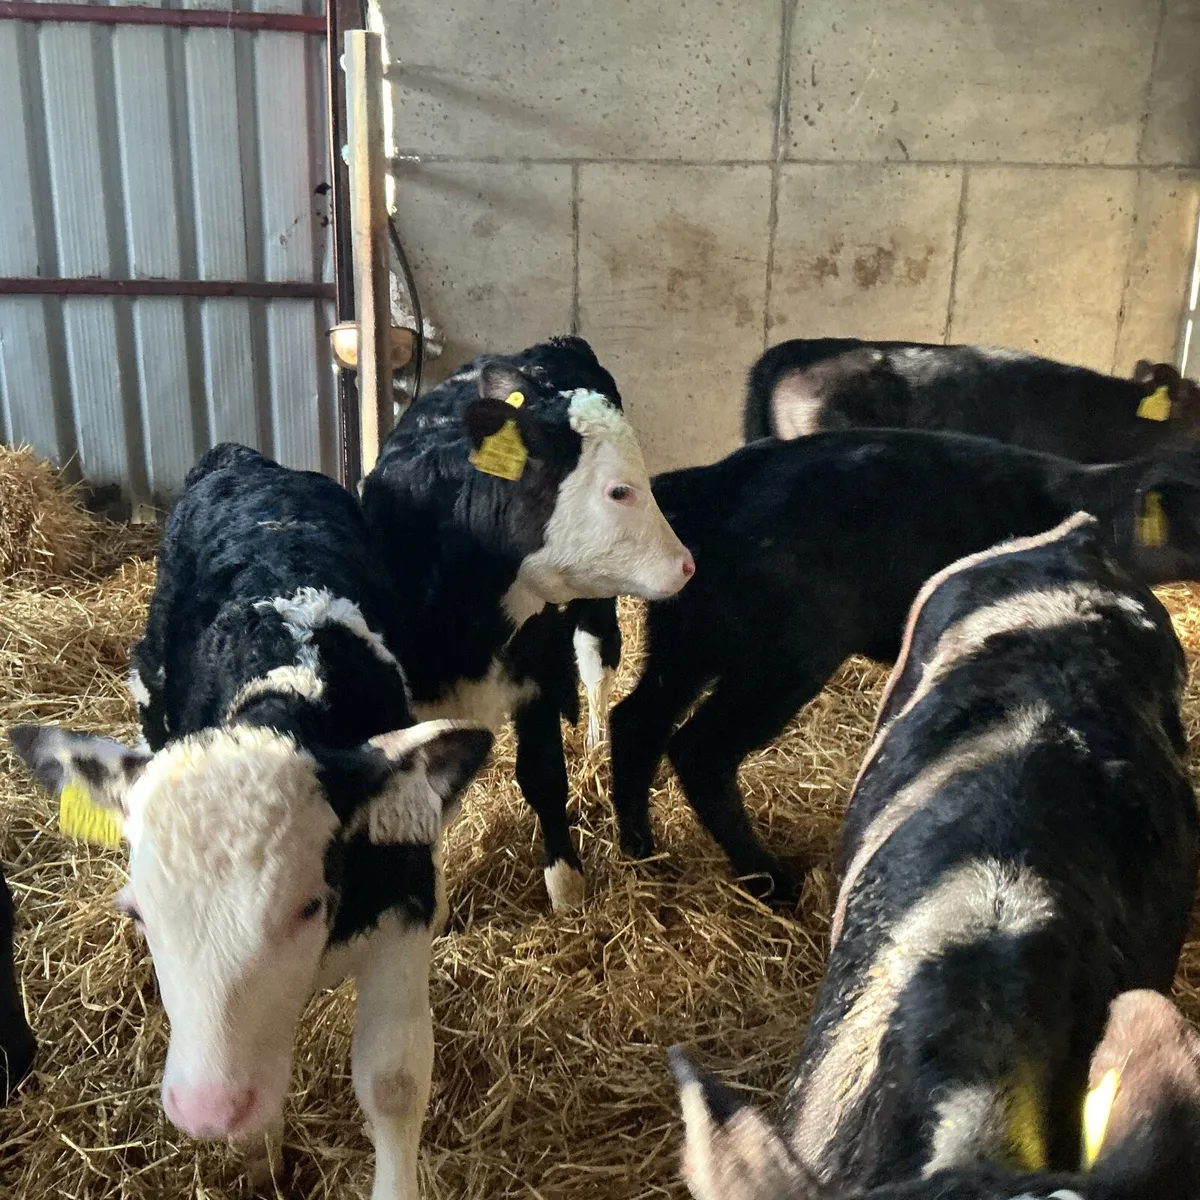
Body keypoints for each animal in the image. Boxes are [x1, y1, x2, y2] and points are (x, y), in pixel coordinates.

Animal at [9, 444, 494, 1200]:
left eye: (308, 906)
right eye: (139, 915)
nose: (204, 1109)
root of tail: (240, 457)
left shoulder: (406, 899)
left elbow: (392, 1081)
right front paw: (259, 1156)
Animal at [361, 335, 694, 912]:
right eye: (619, 491)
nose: (686, 565)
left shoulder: (536, 670)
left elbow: (543, 775)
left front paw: (566, 888)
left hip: (595, 605)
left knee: (598, 657)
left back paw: (596, 742)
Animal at [609, 429, 1200, 902]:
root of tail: (713, 481)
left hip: (689, 638)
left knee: (636, 720)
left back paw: (642, 853)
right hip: (781, 655)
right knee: (700, 750)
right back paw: (770, 880)